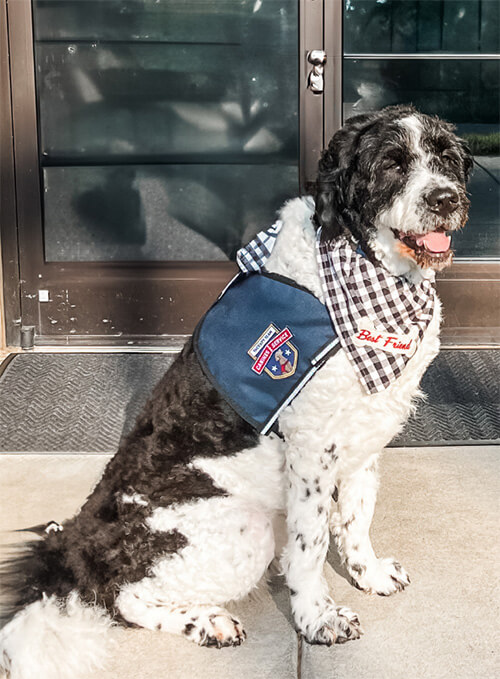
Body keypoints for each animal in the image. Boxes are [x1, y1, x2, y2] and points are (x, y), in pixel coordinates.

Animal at [0, 103, 472, 676]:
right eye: (391, 164)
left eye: (446, 158)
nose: (445, 199)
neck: (362, 272)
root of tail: (77, 542)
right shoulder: (312, 447)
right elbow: (311, 544)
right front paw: (317, 619)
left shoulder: (367, 433)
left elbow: (357, 516)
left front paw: (369, 574)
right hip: (242, 528)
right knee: (123, 597)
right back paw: (207, 622)